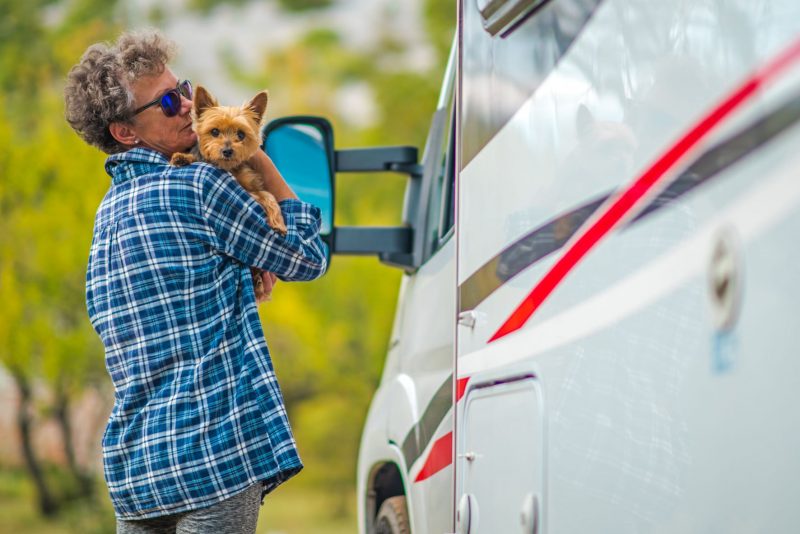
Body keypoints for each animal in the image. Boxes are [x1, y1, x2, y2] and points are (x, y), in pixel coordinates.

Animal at [173, 86, 288, 300]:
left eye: (241, 134)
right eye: (214, 132)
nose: (227, 150)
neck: (228, 168)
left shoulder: (253, 184)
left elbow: (268, 197)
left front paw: (279, 223)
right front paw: (182, 157)